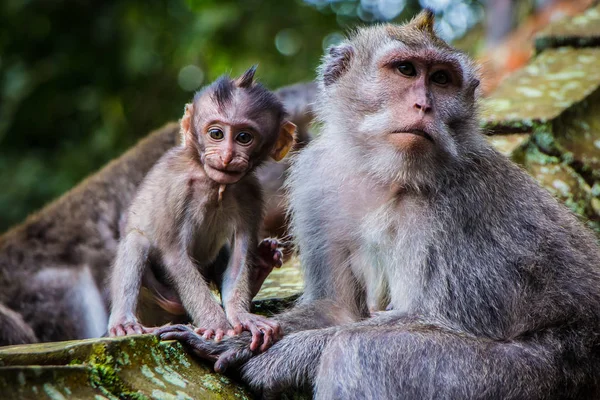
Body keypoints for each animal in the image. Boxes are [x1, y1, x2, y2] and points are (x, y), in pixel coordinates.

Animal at [109, 67, 296, 352]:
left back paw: (262, 266)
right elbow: (174, 253)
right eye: (216, 134)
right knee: (136, 241)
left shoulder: (251, 194)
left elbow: (240, 251)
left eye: (244, 137)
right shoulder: (176, 189)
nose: (227, 156)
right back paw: (127, 320)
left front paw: (242, 316)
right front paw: (217, 325)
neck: (213, 182)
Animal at [159, 10, 600, 398]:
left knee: (359, 354)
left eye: (441, 79)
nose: (425, 105)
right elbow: (336, 309)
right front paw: (248, 334)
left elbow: (425, 321)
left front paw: (268, 354)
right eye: (406, 70)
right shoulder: (318, 183)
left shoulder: (456, 207)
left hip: (531, 376)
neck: (388, 176)